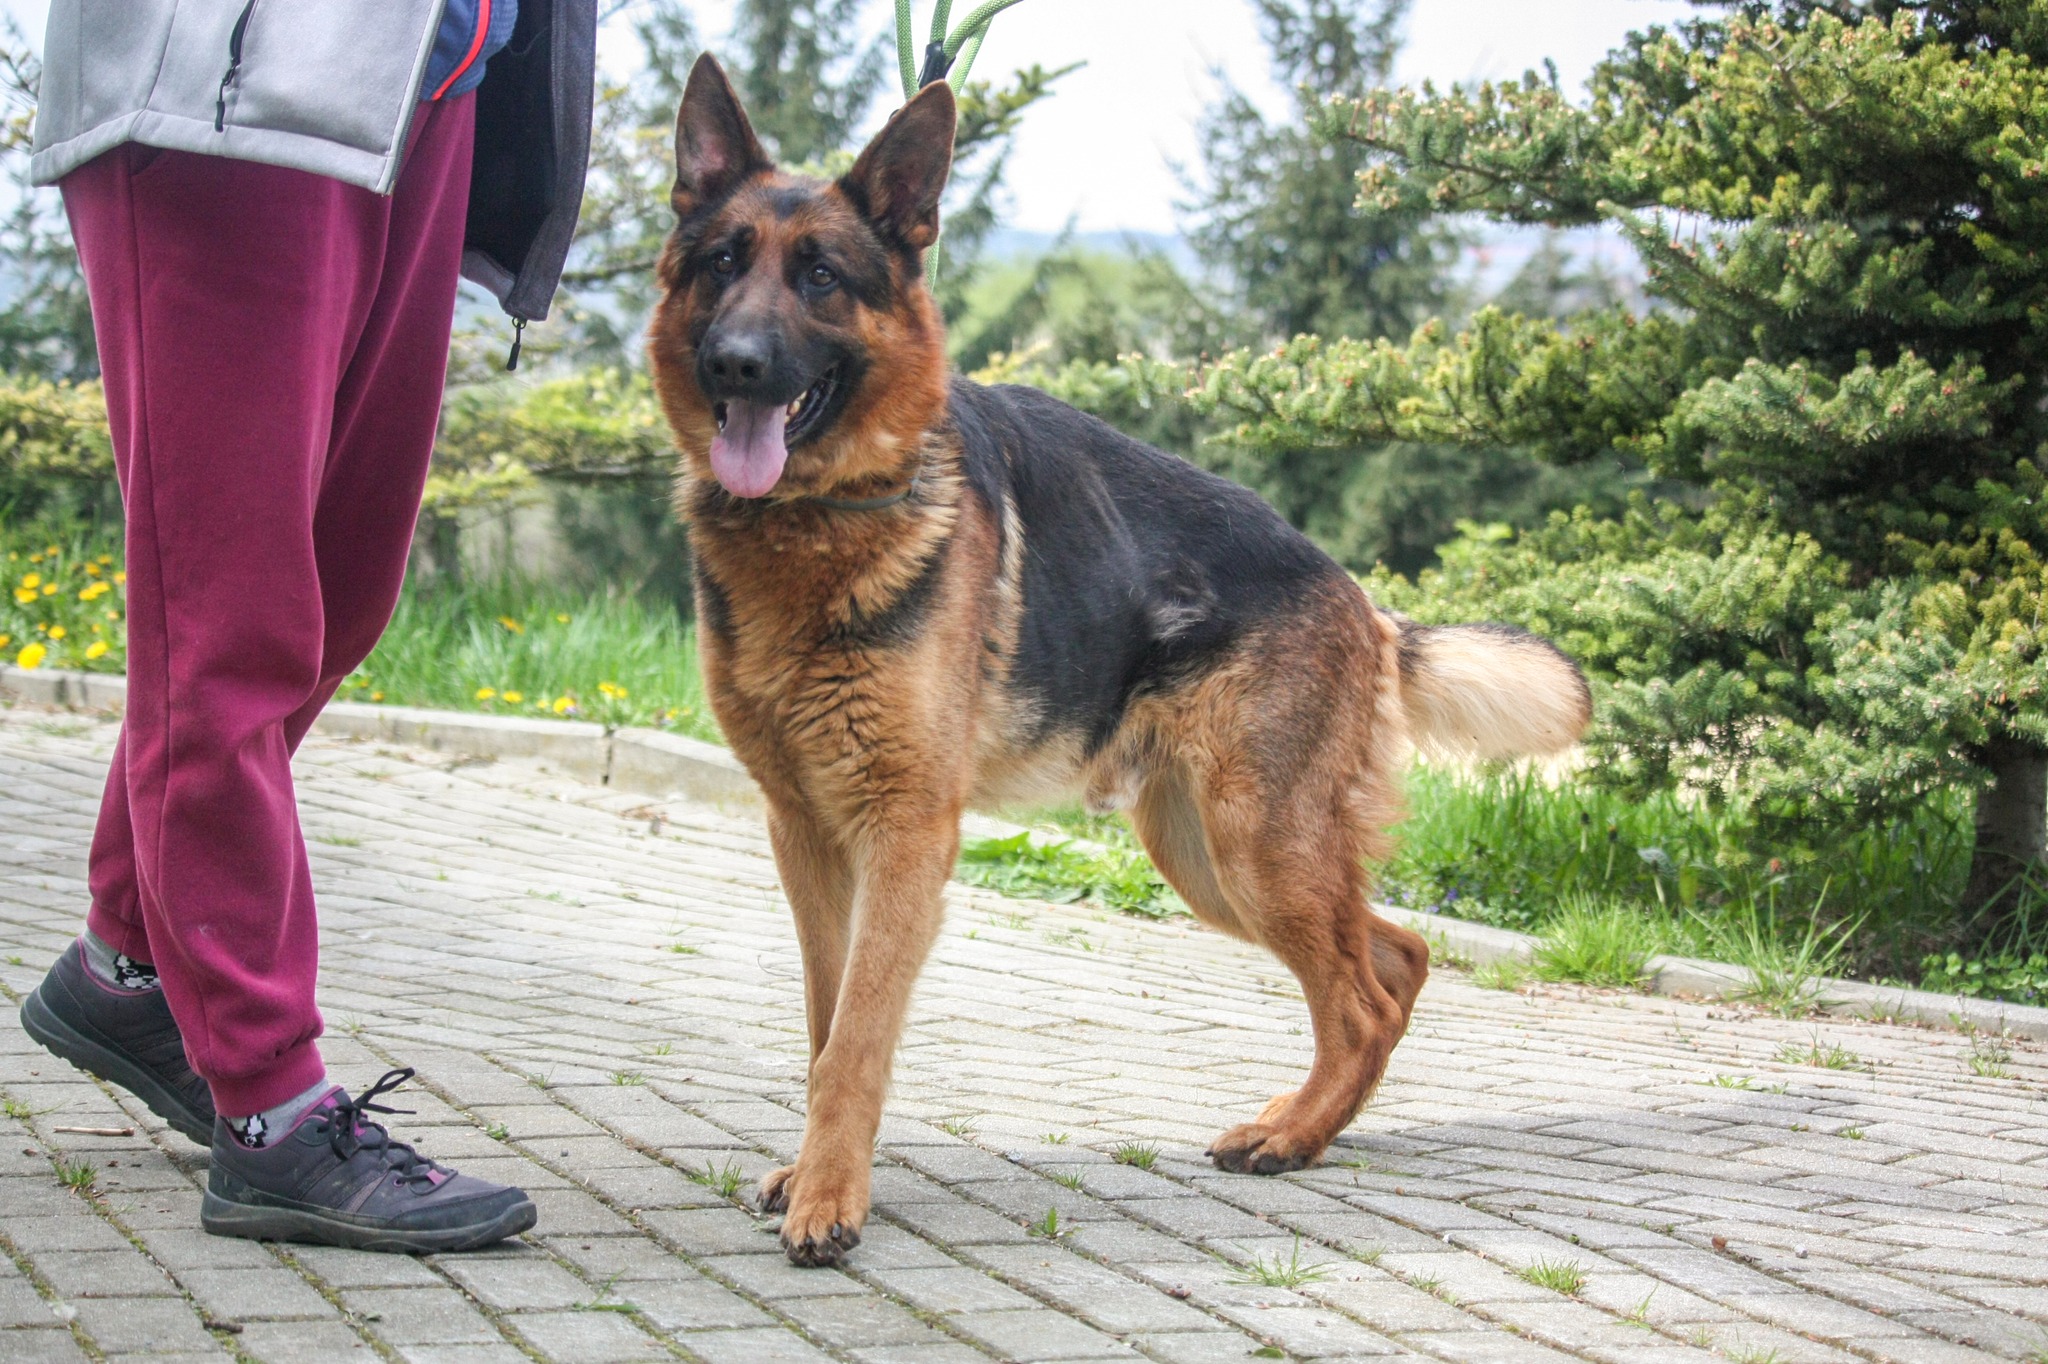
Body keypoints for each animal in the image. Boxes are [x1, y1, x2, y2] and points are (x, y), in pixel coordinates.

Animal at [648, 54, 1592, 1267]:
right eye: (723, 262)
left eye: (819, 277)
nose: (737, 361)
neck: (825, 519)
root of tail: (1360, 600)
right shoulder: (804, 832)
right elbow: (823, 1023)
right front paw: (812, 1173)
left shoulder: (904, 834)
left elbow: (855, 1037)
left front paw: (830, 1201)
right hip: (1207, 854)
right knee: (1397, 956)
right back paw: (1305, 1120)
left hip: (1254, 844)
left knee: (1364, 995)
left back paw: (1288, 1137)